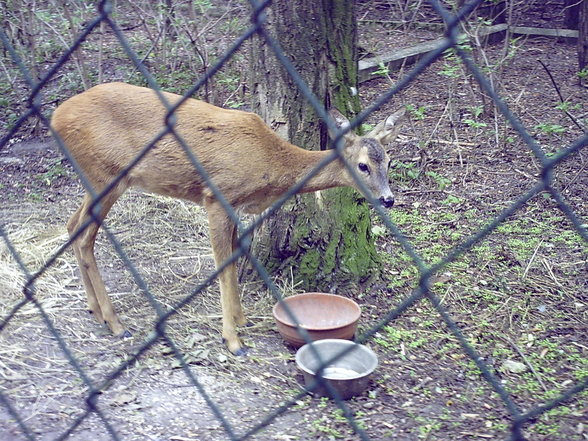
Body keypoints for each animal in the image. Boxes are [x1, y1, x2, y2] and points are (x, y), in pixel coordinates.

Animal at [50, 81, 404, 354]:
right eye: (363, 165)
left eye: (389, 161)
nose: (388, 199)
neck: (269, 162)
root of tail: (56, 117)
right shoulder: (217, 196)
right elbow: (223, 265)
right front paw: (233, 340)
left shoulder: (236, 204)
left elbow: (235, 255)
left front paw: (242, 319)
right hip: (106, 175)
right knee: (85, 235)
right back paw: (115, 322)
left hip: (95, 179)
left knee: (72, 225)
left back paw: (95, 309)